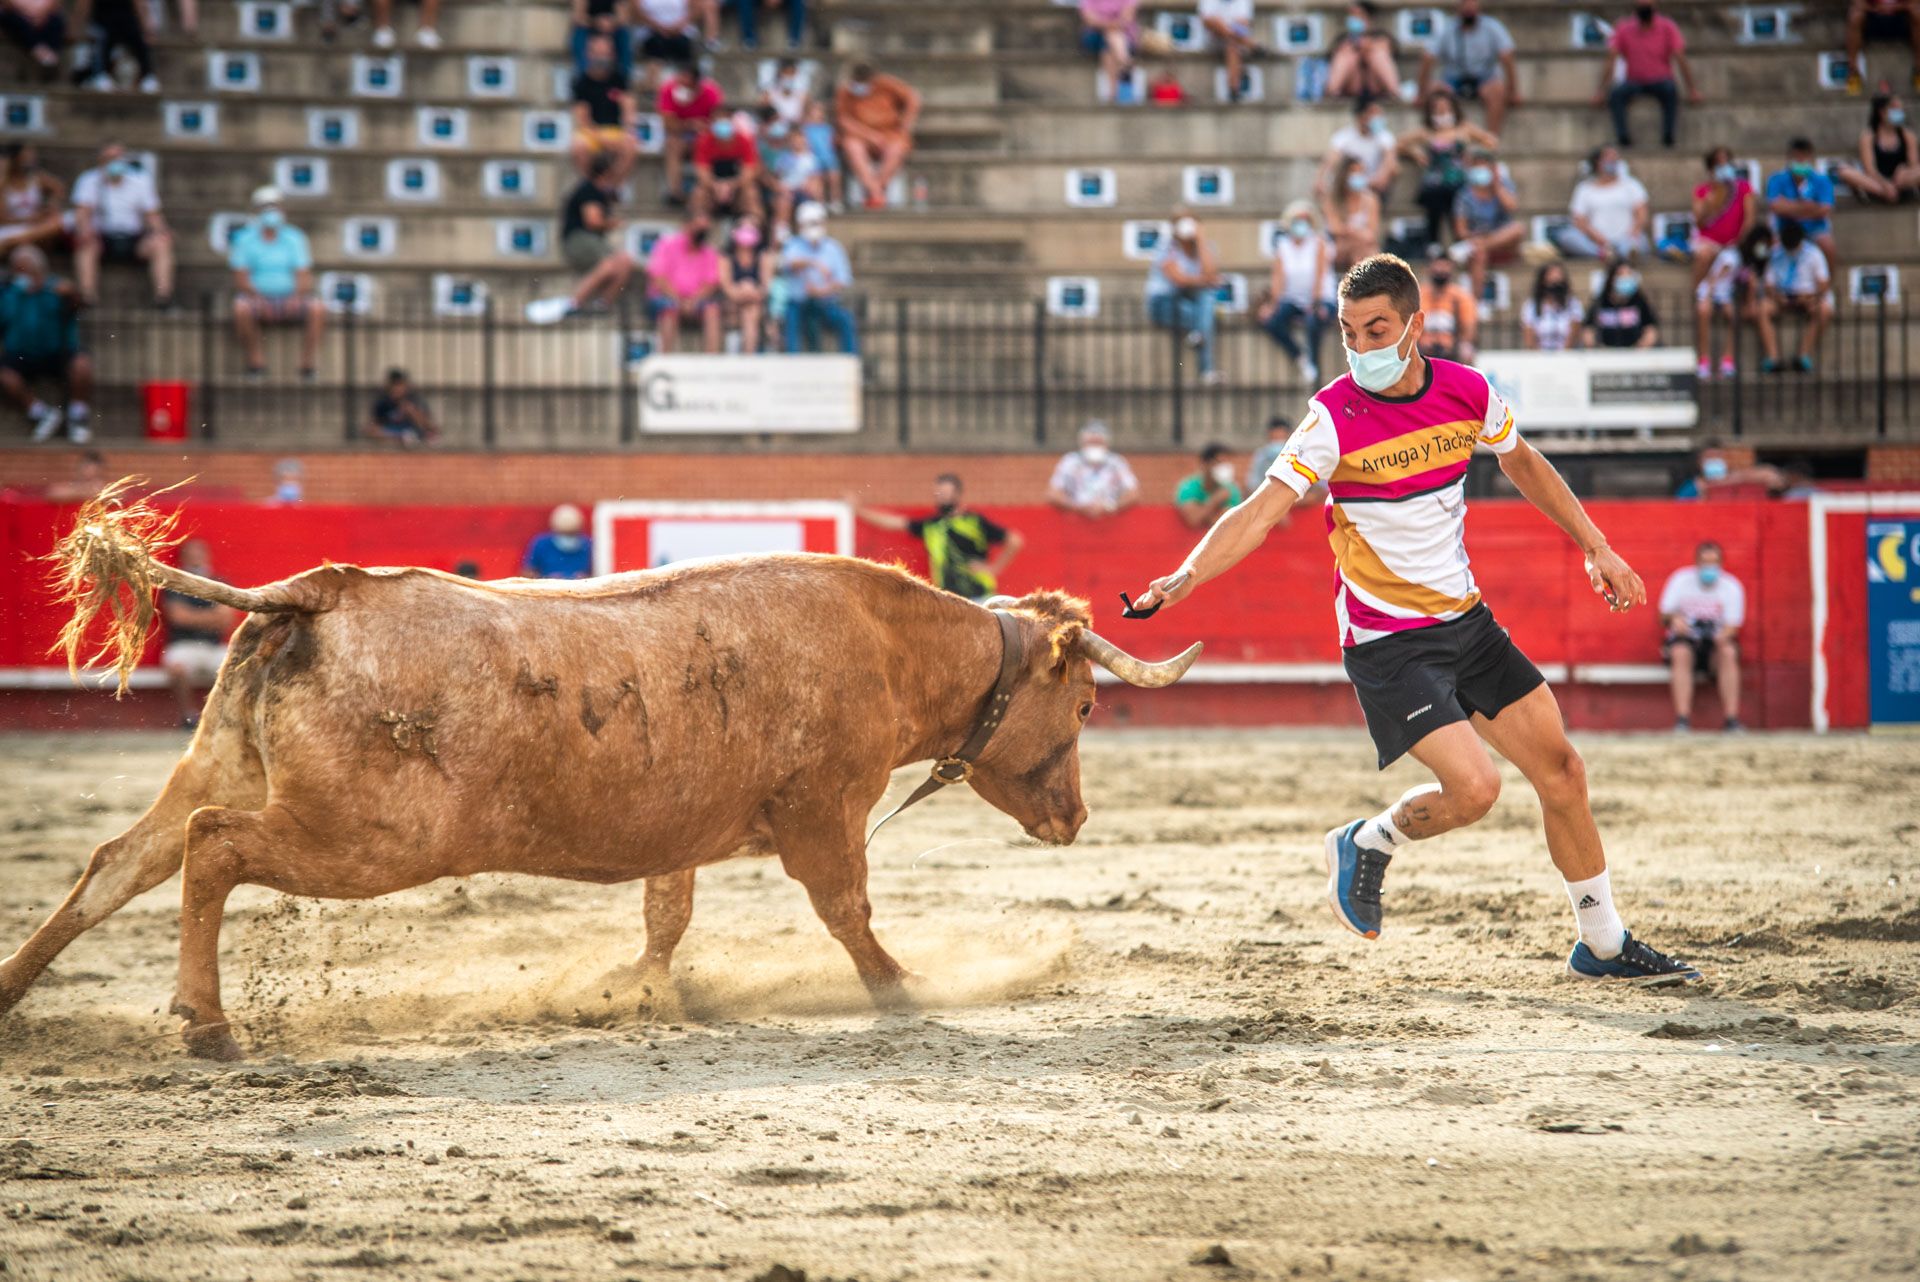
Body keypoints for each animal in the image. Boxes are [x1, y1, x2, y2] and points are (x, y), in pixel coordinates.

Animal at [0, 485, 1198, 1059]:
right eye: (1086, 705)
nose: (1074, 819)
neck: (891, 644)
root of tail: (320, 589)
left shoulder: (689, 830)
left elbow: (667, 914)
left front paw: (640, 992)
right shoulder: (823, 812)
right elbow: (846, 912)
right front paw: (902, 991)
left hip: (217, 765)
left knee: (119, 861)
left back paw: (13, 995)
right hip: (370, 838)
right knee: (214, 851)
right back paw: (208, 1025)